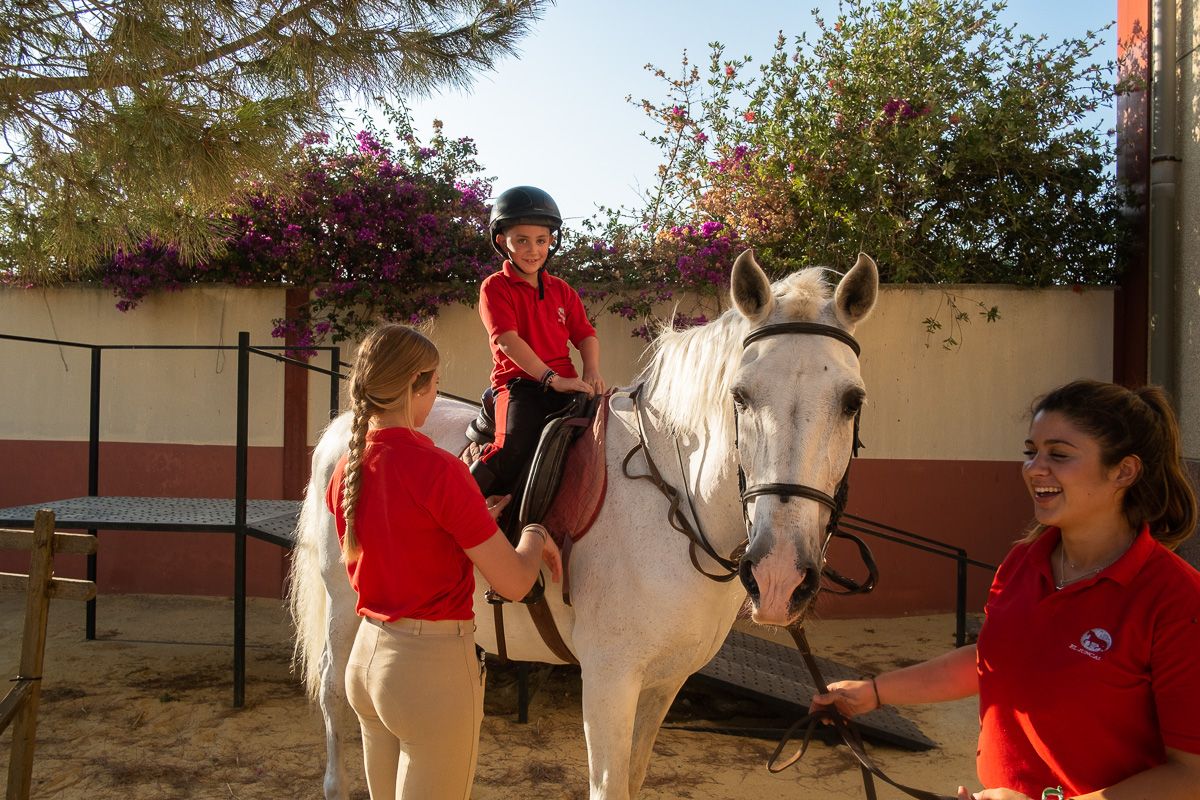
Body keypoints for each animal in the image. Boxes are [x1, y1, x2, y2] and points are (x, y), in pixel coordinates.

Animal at [288, 248, 879, 799]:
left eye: (853, 402)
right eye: (740, 395)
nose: (779, 576)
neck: (673, 502)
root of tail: (351, 423)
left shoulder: (664, 682)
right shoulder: (609, 681)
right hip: (345, 609)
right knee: (337, 694)